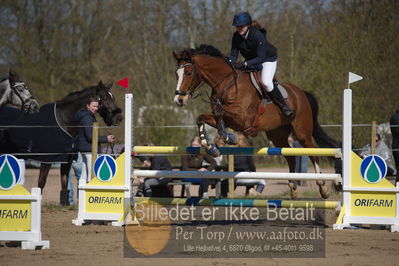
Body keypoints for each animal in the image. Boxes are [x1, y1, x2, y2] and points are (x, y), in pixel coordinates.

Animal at [173, 44, 340, 200]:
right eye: (177, 74)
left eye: (188, 73)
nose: (179, 100)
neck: (226, 84)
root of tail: (301, 93)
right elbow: (202, 118)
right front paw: (211, 147)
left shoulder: (242, 118)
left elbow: (220, 114)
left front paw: (228, 137)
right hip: (277, 135)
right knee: (290, 157)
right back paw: (294, 190)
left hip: (302, 132)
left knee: (313, 153)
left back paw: (323, 188)